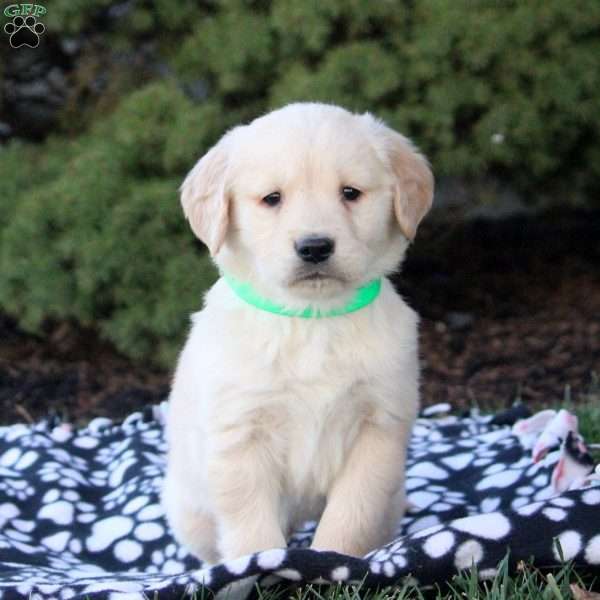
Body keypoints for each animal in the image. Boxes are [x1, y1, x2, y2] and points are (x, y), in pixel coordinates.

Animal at [162, 103, 434, 564]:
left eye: (350, 193)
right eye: (272, 198)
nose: (315, 247)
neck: (312, 319)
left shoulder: (379, 426)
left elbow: (351, 513)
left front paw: (333, 563)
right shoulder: (240, 432)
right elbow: (251, 527)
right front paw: (260, 567)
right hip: (190, 511)